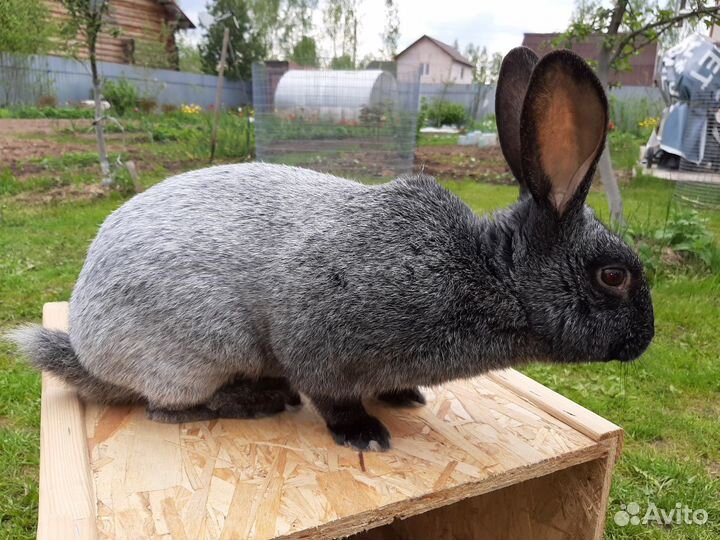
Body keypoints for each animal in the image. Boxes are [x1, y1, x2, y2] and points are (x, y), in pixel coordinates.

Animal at [7, 48, 654, 452]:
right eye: (614, 276)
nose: (644, 340)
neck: (488, 272)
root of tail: (86, 350)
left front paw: (405, 396)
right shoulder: (320, 340)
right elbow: (330, 395)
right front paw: (365, 433)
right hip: (195, 356)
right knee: (167, 408)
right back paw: (258, 401)